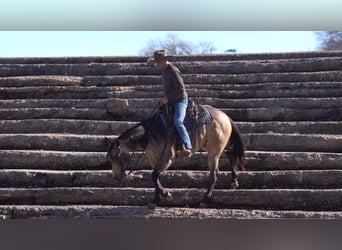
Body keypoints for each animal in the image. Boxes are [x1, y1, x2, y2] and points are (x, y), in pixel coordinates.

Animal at [105, 103, 244, 207]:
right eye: (110, 158)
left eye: (117, 156)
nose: (116, 178)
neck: (151, 133)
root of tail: (224, 116)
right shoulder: (153, 159)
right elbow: (155, 177)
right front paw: (156, 199)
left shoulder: (168, 158)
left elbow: (154, 176)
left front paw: (165, 195)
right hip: (214, 147)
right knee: (231, 154)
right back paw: (234, 181)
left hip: (214, 151)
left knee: (214, 173)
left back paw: (206, 199)